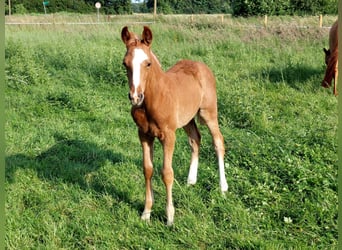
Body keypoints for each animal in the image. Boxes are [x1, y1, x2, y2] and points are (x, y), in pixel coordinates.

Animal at [121, 26, 228, 226]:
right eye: (125, 64)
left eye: (148, 64)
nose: (136, 97)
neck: (155, 98)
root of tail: (201, 66)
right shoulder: (144, 134)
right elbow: (147, 169)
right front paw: (146, 212)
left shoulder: (168, 135)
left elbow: (167, 173)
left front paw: (170, 217)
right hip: (187, 119)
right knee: (195, 139)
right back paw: (191, 180)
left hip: (208, 113)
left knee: (218, 142)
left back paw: (223, 187)